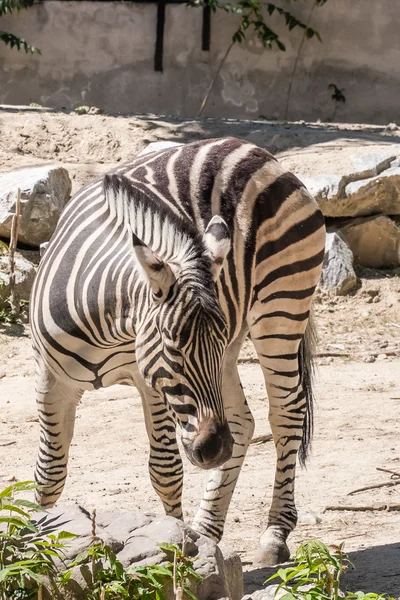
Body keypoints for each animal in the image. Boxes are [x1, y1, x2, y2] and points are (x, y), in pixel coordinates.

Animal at [30, 137, 324, 568]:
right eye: (171, 343)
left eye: (212, 342)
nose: (213, 449)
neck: (106, 323)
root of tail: (252, 149)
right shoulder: (52, 378)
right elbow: (49, 474)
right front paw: (32, 550)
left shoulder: (150, 383)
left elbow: (165, 471)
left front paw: (175, 551)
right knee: (243, 421)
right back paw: (207, 531)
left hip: (281, 304)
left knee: (286, 413)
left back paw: (273, 534)